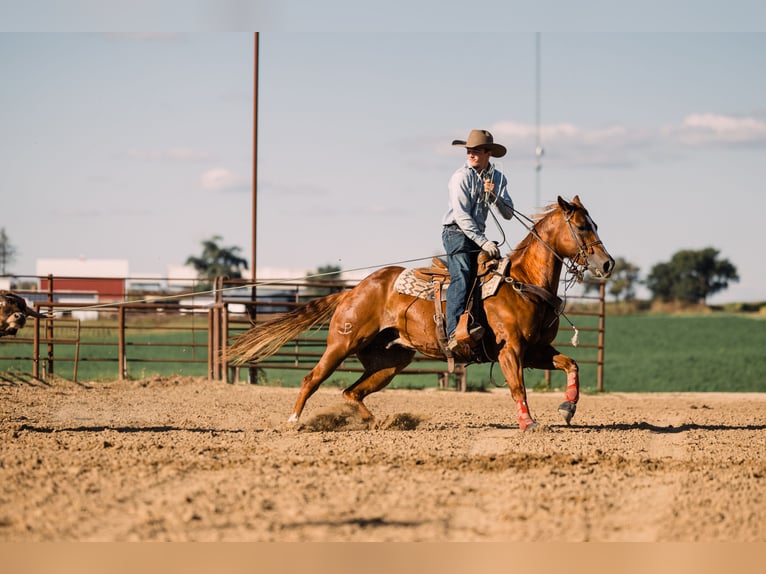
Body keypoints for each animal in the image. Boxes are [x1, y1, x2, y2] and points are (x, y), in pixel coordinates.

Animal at [229, 195, 614, 431]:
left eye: (595, 223)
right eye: (583, 226)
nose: (607, 263)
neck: (521, 282)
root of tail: (354, 290)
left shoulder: (535, 350)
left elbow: (571, 364)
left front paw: (567, 409)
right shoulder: (511, 350)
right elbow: (517, 387)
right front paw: (529, 424)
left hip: (391, 361)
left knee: (352, 393)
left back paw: (379, 423)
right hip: (342, 343)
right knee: (312, 378)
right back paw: (294, 421)